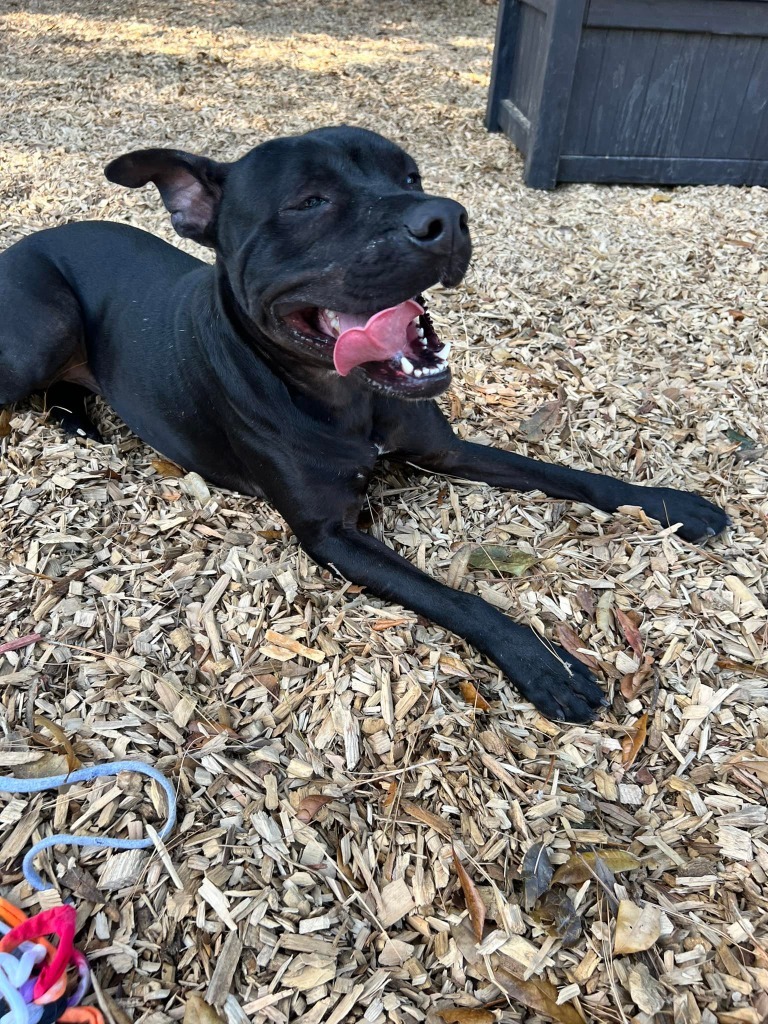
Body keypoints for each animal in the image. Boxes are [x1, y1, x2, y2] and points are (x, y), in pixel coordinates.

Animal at [0, 125, 729, 720]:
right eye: (310, 201)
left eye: (410, 177)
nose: (447, 218)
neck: (347, 398)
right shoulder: (333, 535)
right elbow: (454, 597)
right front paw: (544, 664)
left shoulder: (448, 452)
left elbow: (566, 474)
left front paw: (672, 504)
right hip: (41, 332)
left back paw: (79, 421)